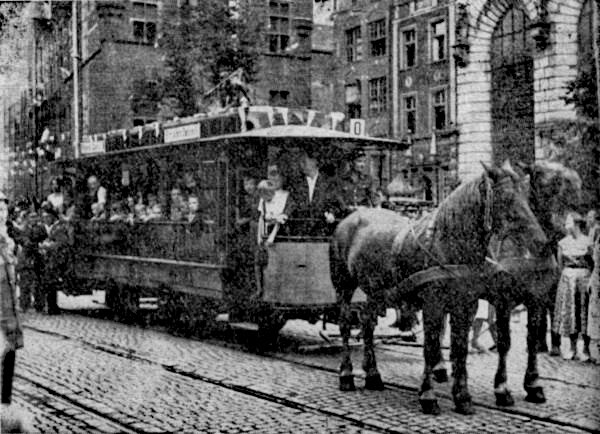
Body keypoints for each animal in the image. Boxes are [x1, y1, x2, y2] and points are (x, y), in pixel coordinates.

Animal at [328, 162, 548, 414]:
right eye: (507, 198)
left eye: (527, 197)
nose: (541, 242)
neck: (449, 244)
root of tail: (350, 217)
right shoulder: (434, 303)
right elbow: (431, 346)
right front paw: (428, 395)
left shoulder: (468, 304)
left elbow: (460, 348)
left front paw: (462, 397)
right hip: (343, 286)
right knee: (345, 325)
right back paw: (346, 375)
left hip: (377, 292)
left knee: (367, 322)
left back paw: (373, 375)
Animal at [418, 162, 580, 414]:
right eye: (548, 184)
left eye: (573, 189)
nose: (563, 230)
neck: (526, 250)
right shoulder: (504, 299)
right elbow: (505, 342)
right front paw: (502, 389)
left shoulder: (538, 299)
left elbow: (532, 340)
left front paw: (533, 384)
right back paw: (441, 367)